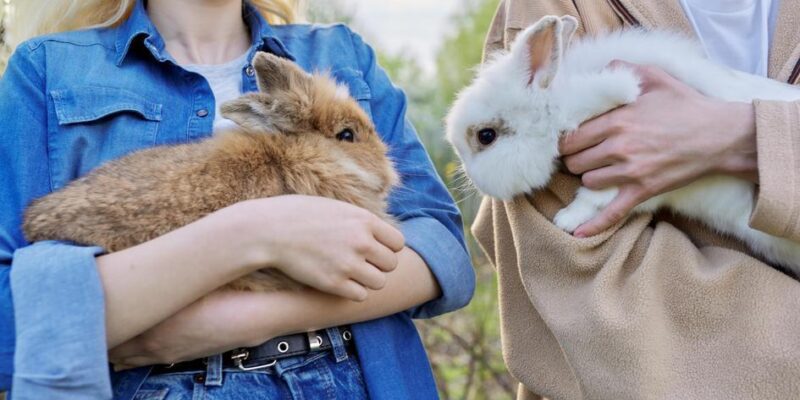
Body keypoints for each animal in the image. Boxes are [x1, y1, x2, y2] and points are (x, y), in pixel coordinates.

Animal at [445, 15, 800, 275]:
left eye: (485, 136)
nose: (475, 182)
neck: (559, 101)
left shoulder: (631, 175)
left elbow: (596, 195)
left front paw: (567, 220)